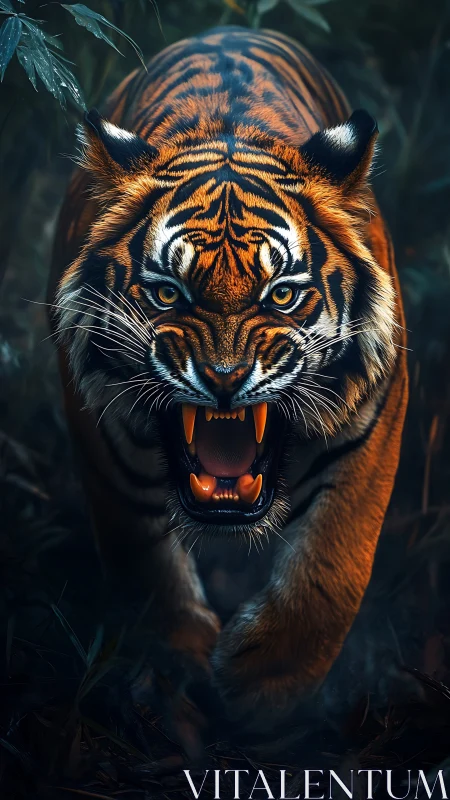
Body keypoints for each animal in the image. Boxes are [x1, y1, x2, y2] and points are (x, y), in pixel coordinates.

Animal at [48, 25, 408, 734]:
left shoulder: (373, 428)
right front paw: (179, 669)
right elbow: (147, 566)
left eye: (282, 295)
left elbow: (333, 567)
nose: (223, 379)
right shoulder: (104, 445)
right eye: (167, 293)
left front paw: (264, 688)